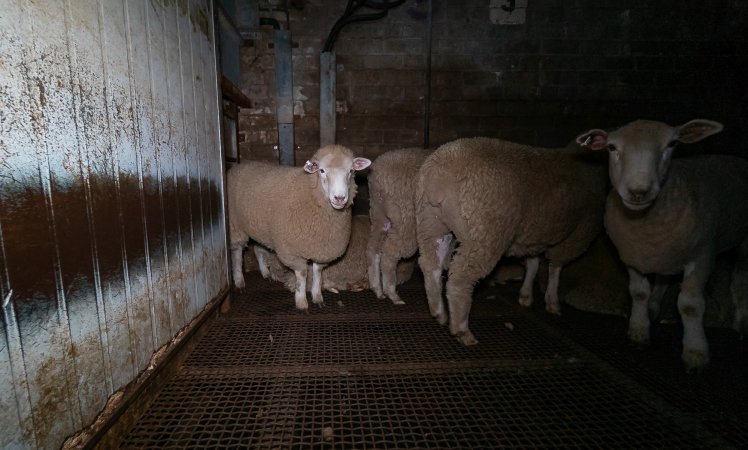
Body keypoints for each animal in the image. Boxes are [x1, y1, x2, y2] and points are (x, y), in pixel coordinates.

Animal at [225, 144, 372, 310]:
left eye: (351, 171)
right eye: (322, 170)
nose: (340, 198)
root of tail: (239, 165)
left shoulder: (321, 249)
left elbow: (317, 273)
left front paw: (317, 297)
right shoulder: (292, 250)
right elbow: (302, 275)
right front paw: (301, 302)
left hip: (259, 226)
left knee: (258, 249)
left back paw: (265, 273)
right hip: (236, 224)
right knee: (237, 253)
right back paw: (239, 280)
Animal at [366, 148, 432, 306]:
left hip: (379, 215)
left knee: (373, 249)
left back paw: (377, 289)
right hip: (405, 218)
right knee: (390, 253)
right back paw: (392, 293)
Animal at [414, 137, 608, 344]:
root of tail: (438, 171)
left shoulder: (532, 237)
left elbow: (533, 263)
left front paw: (526, 295)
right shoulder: (577, 234)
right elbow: (555, 268)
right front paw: (552, 301)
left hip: (431, 223)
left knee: (431, 264)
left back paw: (439, 311)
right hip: (483, 234)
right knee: (460, 279)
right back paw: (462, 329)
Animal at [576, 119, 748, 370]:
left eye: (672, 144)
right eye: (611, 147)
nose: (638, 191)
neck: (646, 225)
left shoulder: (702, 256)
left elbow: (690, 305)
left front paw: (695, 352)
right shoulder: (632, 256)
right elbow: (639, 293)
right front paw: (639, 330)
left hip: (744, 244)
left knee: (740, 282)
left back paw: (742, 321)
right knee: (663, 278)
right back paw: (653, 308)